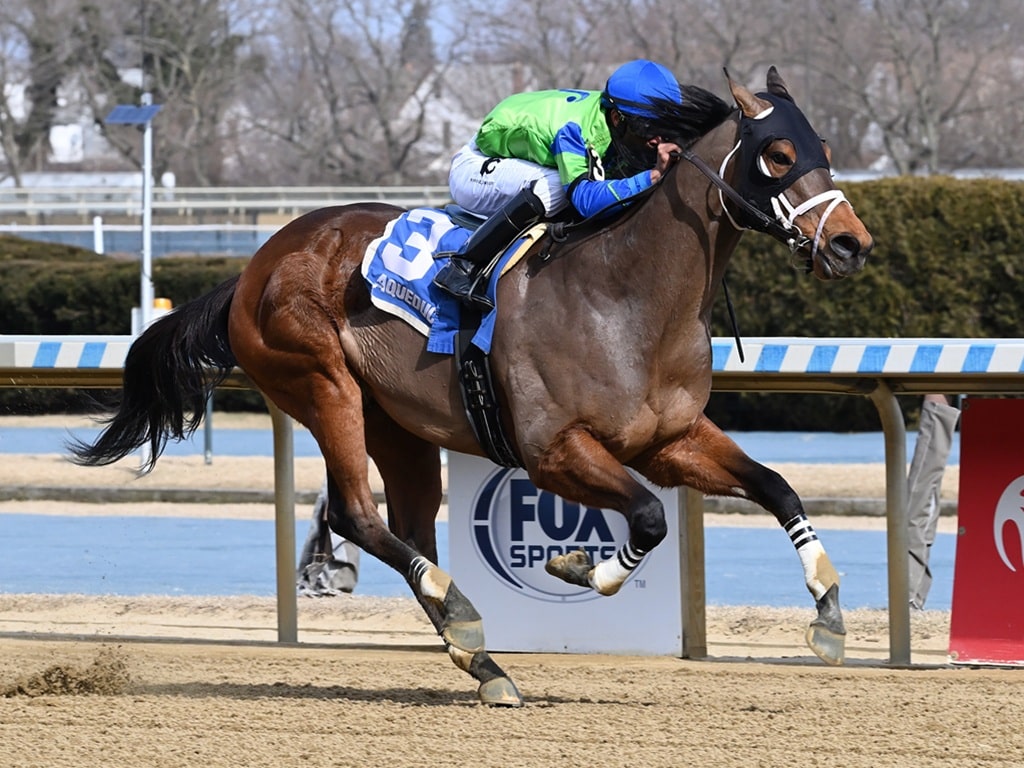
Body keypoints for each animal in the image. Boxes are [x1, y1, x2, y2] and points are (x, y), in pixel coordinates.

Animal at [72, 70, 872, 708]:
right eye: (779, 155)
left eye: (826, 153)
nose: (851, 245)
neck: (625, 296)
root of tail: (253, 266)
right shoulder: (553, 451)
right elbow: (647, 518)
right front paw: (577, 564)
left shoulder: (668, 438)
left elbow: (775, 486)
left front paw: (830, 615)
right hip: (322, 383)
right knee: (358, 515)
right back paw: (462, 615)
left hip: (397, 422)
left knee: (409, 527)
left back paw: (481, 660)